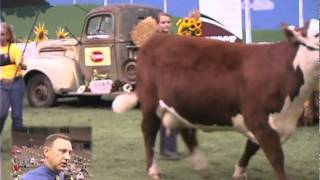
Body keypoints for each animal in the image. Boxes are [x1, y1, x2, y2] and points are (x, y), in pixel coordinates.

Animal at [112, 19, 318, 180]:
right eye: (317, 34)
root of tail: (155, 39)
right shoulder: (258, 118)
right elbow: (276, 157)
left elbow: (250, 148)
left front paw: (239, 172)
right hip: (150, 102)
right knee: (149, 131)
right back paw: (154, 170)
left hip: (184, 103)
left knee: (186, 131)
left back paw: (201, 166)